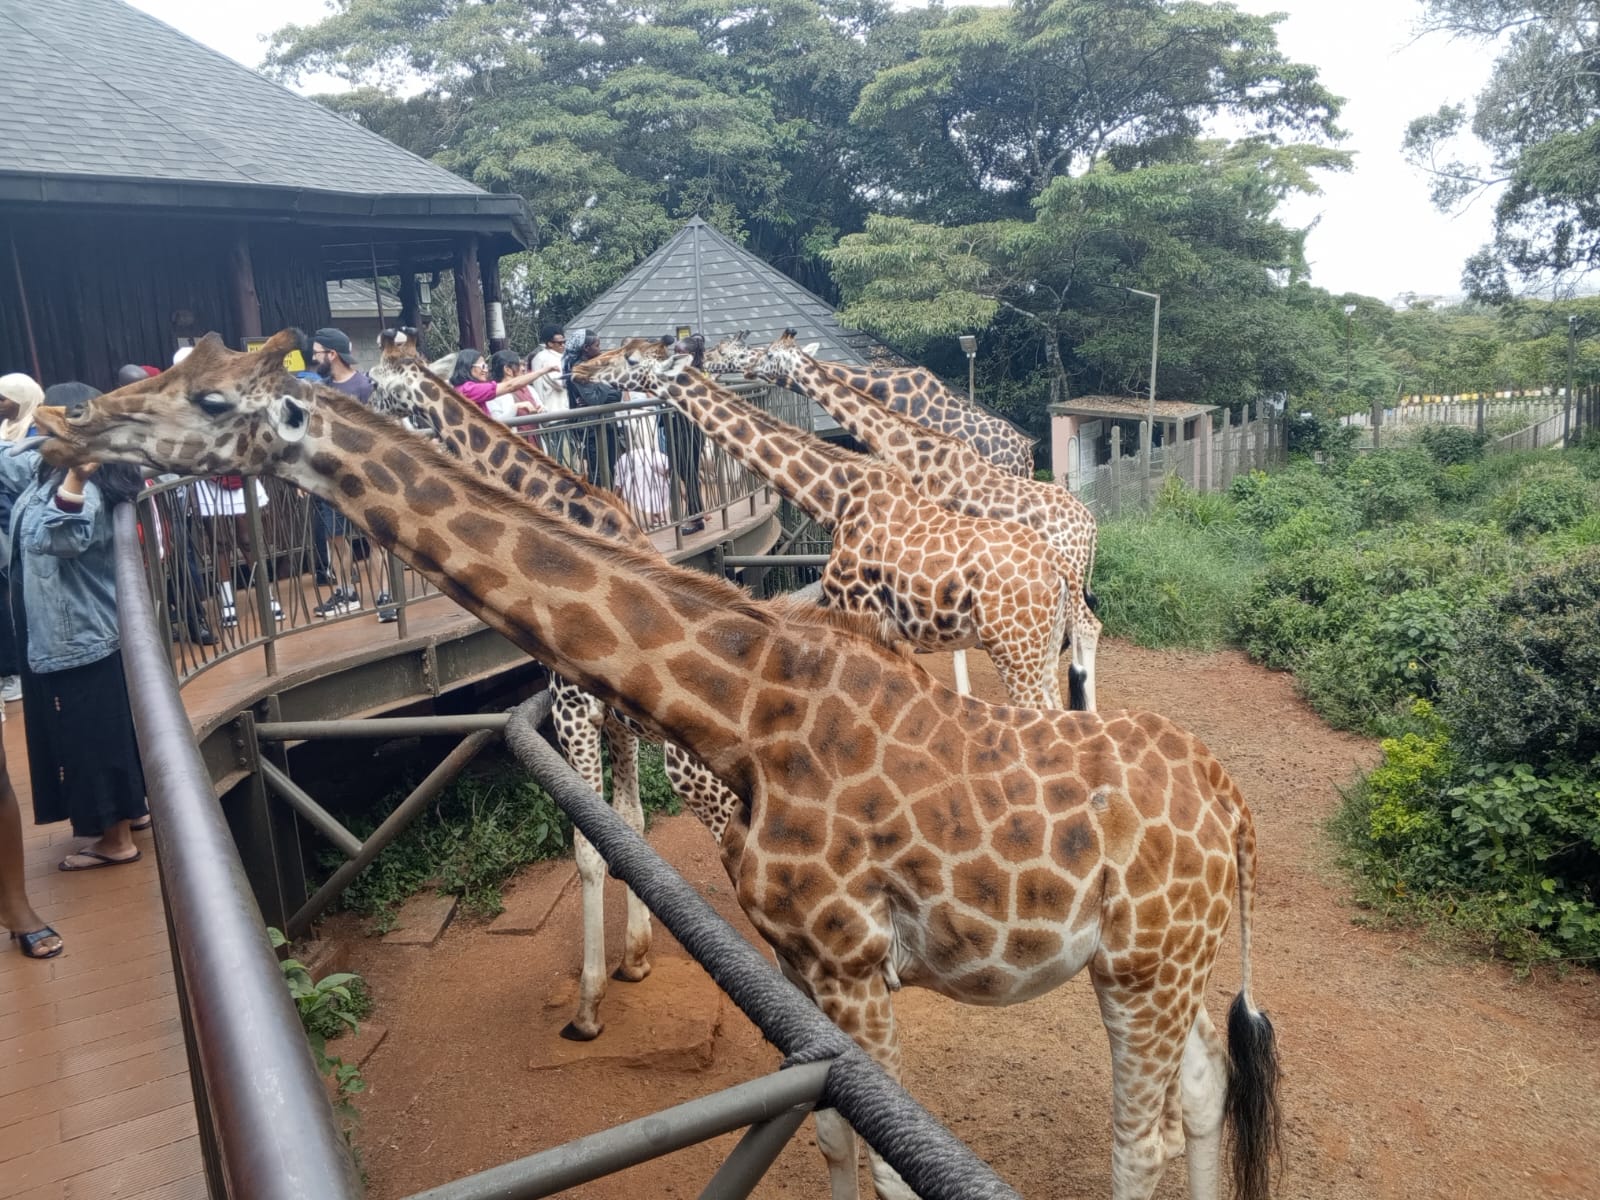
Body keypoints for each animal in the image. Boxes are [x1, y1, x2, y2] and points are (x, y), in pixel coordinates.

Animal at [367, 330, 739, 1040]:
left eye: (373, 384)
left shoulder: (572, 711)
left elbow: (590, 850)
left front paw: (588, 1008)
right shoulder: (616, 724)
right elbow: (631, 829)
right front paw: (636, 959)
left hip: (698, 775)